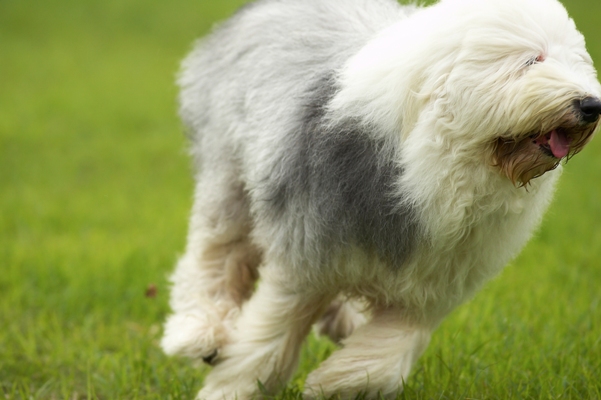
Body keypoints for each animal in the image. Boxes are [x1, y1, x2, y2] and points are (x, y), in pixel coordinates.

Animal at [161, 0, 600, 398]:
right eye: (531, 60)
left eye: (577, 61)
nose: (591, 104)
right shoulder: (305, 259)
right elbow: (267, 340)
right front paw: (232, 389)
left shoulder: (432, 285)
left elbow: (390, 355)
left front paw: (333, 382)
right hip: (230, 172)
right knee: (215, 253)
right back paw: (199, 333)